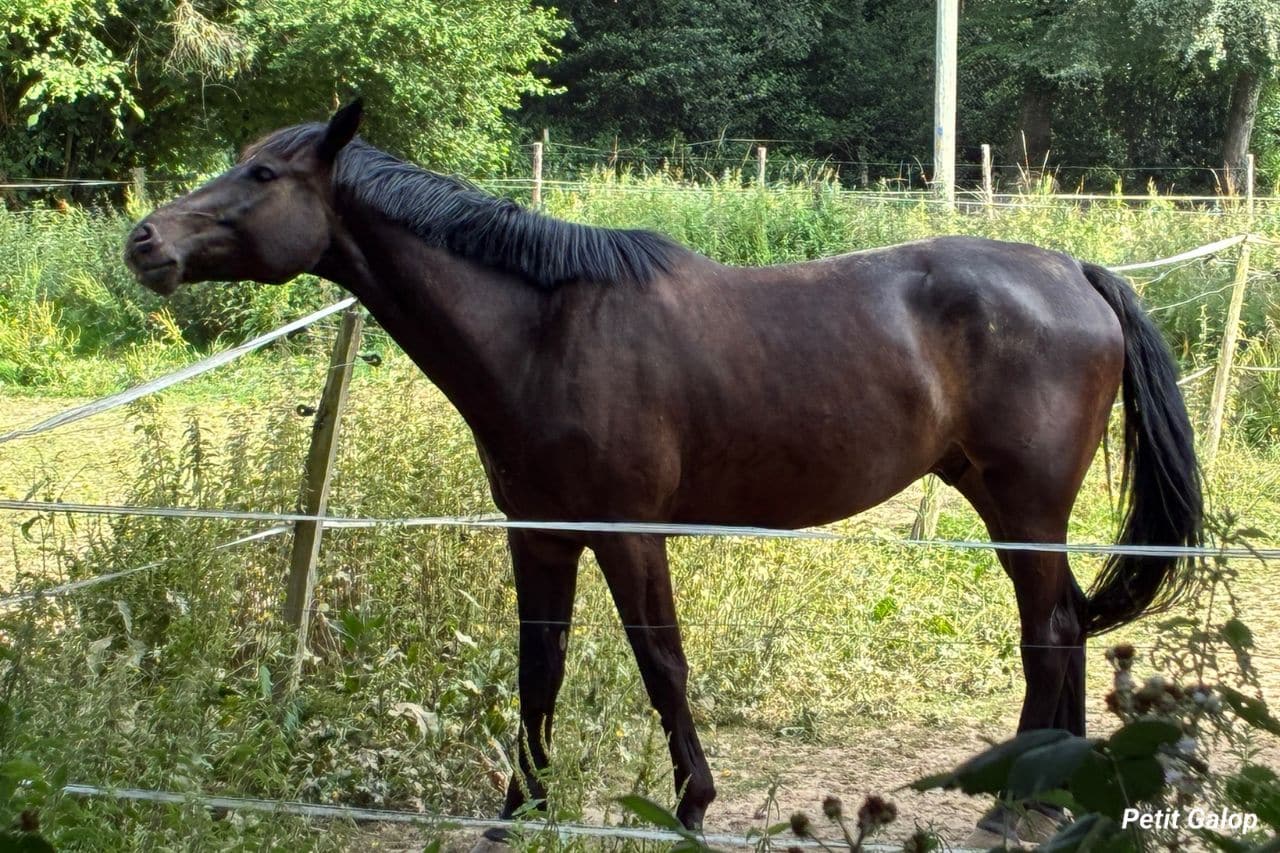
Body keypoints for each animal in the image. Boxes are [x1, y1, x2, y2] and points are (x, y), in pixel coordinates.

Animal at [125, 101, 1202, 841]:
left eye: (263, 171)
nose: (145, 240)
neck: (543, 328)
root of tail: (1074, 273)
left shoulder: (627, 531)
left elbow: (661, 662)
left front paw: (689, 805)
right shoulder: (541, 534)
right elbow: (540, 666)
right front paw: (519, 810)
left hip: (1023, 501)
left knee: (1051, 632)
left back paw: (1019, 808)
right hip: (1000, 498)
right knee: (1060, 625)